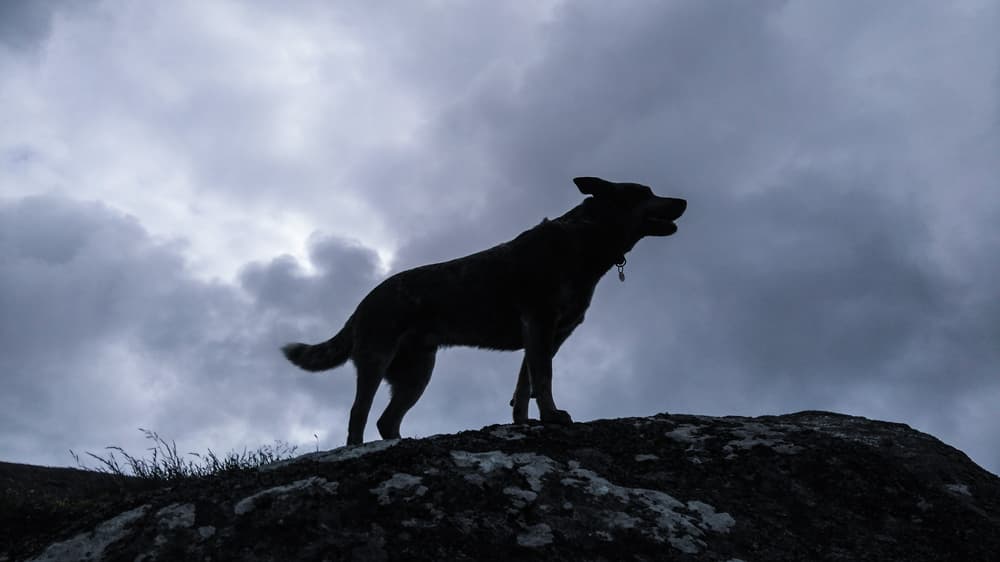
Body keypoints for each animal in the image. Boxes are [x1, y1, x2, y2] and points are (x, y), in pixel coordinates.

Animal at [286, 177, 684, 444]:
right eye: (645, 192)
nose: (683, 200)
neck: (586, 238)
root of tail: (363, 303)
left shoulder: (549, 335)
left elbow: (525, 386)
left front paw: (526, 422)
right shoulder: (540, 324)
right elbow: (543, 378)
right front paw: (552, 416)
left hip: (417, 372)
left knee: (387, 420)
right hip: (377, 359)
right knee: (359, 413)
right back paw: (355, 448)